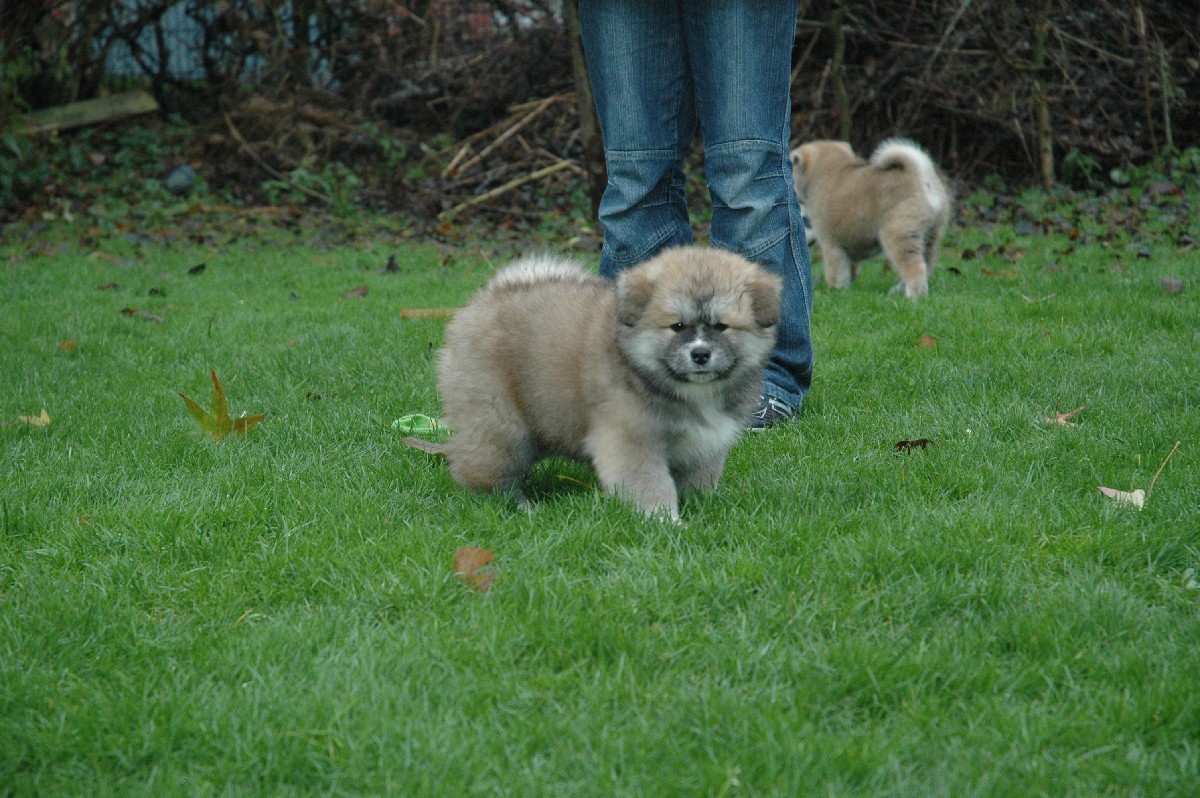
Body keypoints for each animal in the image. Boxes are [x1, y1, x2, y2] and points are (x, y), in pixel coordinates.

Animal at [435, 246, 782, 520]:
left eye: (721, 326)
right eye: (677, 326)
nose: (700, 354)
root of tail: (489, 296)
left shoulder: (705, 443)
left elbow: (701, 478)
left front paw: (703, 506)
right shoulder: (630, 439)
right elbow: (650, 485)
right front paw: (665, 522)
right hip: (503, 428)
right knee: (484, 470)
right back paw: (517, 506)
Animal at [791, 138, 950, 298]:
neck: (824, 174)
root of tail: (921, 175)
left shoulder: (830, 243)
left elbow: (835, 272)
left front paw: (834, 290)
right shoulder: (850, 244)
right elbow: (850, 270)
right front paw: (845, 290)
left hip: (900, 234)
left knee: (915, 268)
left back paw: (913, 296)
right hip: (930, 237)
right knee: (926, 266)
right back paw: (897, 291)